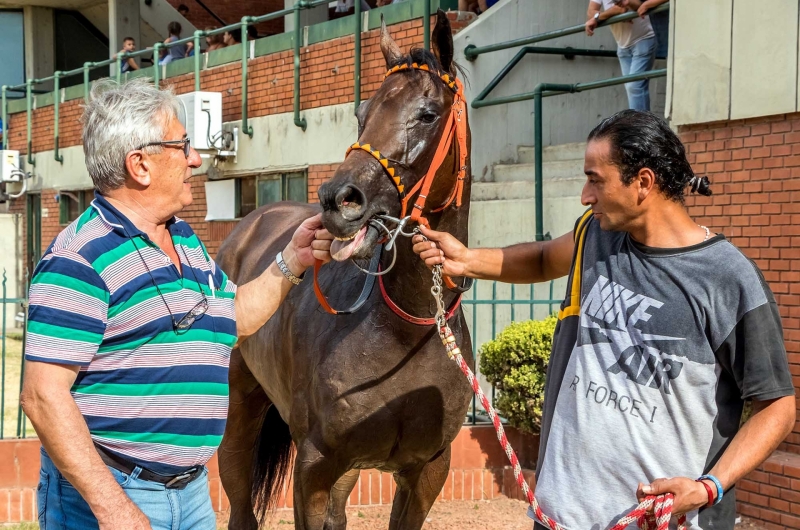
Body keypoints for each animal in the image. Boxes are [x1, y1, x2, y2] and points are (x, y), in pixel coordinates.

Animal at [216, 11, 472, 524]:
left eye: (427, 114)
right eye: (361, 115)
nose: (338, 200)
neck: (406, 327)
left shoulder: (427, 471)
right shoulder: (314, 468)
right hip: (239, 407)